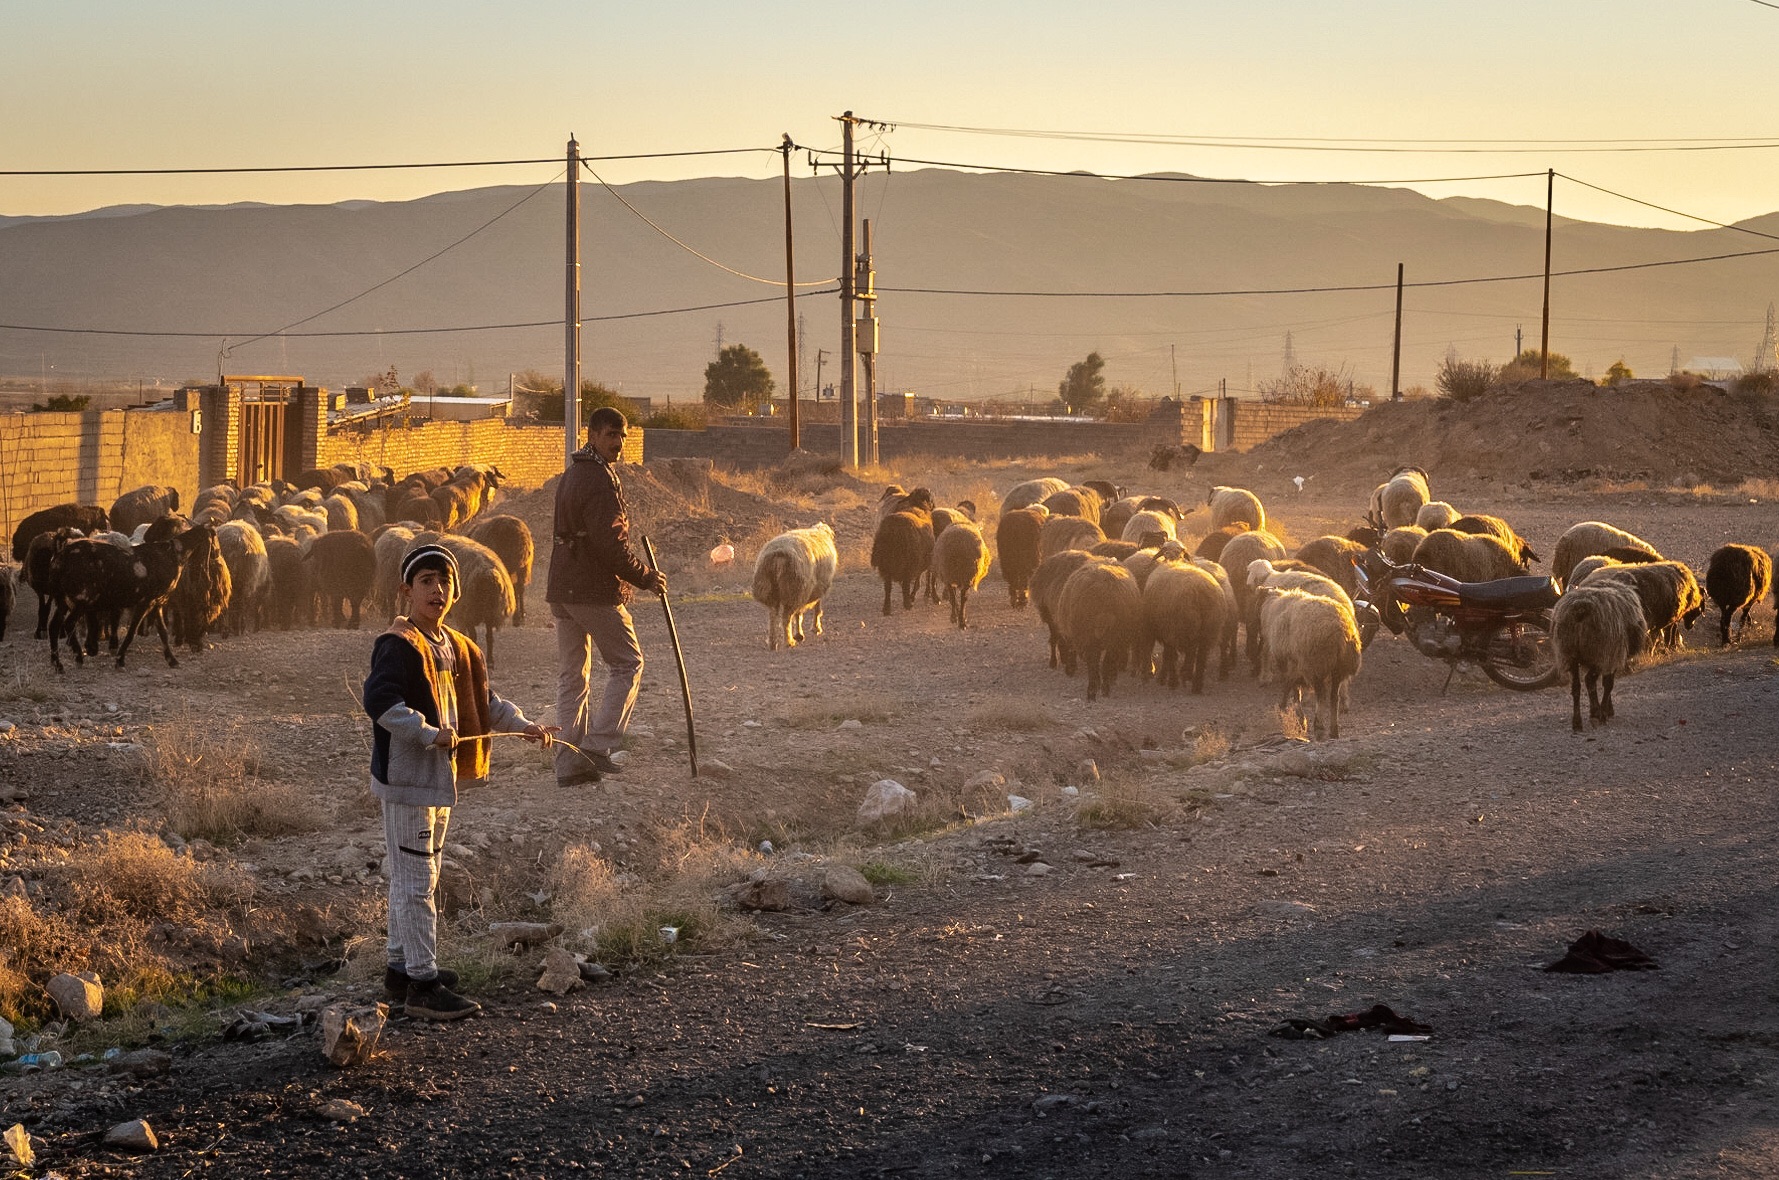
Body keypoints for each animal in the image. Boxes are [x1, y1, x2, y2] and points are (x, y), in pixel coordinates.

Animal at [747, 526, 836, 654]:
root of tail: (778, 556)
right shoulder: (812, 589)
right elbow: (814, 609)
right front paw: (813, 629)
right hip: (793, 589)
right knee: (786, 618)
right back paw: (789, 641)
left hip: (772, 590)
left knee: (773, 617)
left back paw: (773, 643)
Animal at [1053, 555, 1138, 697]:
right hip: (1115, 636)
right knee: (1106, 661)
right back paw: (1105, 686)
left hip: (1090, 635)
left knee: (1094, 662)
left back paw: (1097, 686)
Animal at [1252, 583, 1359, 740]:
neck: (1272, 606)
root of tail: (1341, 631)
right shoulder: (1296, 664)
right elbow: (1294, 688)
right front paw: (1296, 717)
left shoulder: (1288, 662)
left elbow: (1292, 689)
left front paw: (1293, 715)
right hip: (1339, 668)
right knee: (1334, 698)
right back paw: (1334, 731)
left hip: (1316, 664)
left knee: (1321, 696)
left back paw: (1319, 727)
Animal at [1551, 580, 1643, 733]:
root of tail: (1580, 609)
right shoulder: (1612, 656)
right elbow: (1608, 684)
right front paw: (1605, 711)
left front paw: (1601, 710)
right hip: (1599, 651)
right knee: (1589, 680)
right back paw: (1597, 715)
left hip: (1569, 653)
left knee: (1576, 687)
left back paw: (1577, 723)